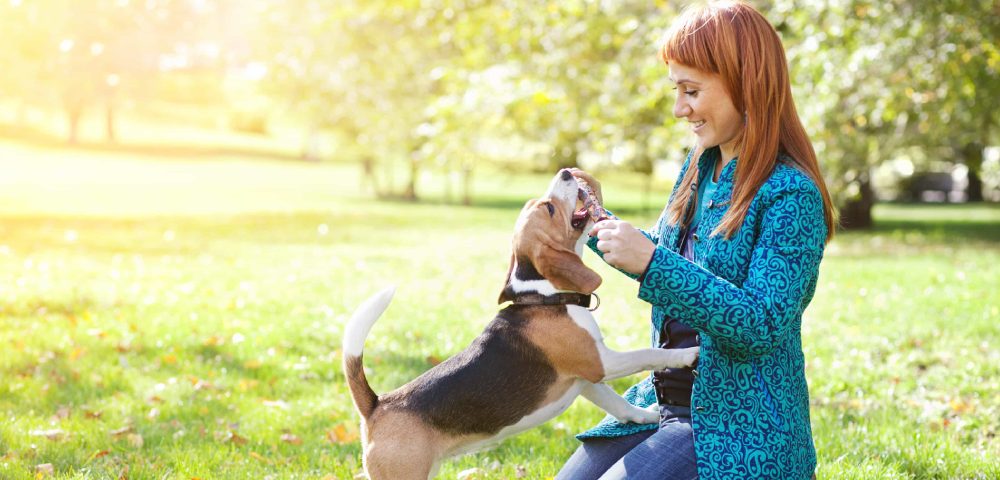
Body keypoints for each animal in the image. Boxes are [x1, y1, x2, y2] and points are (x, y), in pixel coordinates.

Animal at [340, 169, 700, 476]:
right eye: (550, 209)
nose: (566, 172)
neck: (545, 295)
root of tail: (377, 405)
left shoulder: (585, 379)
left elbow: (619, 405)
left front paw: (647, 416)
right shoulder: (600, 362)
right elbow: (647, 354)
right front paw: (687, 355)